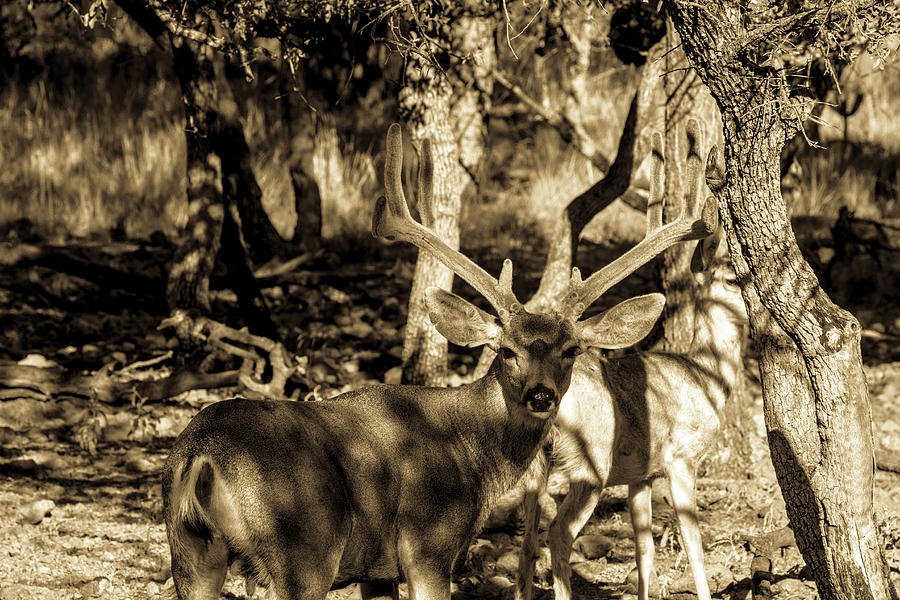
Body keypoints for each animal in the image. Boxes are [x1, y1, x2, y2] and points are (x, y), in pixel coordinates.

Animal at [512, 122, 744, 600]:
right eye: (733, 277)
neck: (706, 377)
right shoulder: (681, 457)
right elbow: (693, 545)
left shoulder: (641, 474)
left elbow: (645, 549)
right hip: (588, 464)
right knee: (558, 533)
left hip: (537, 468)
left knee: (526, 543)